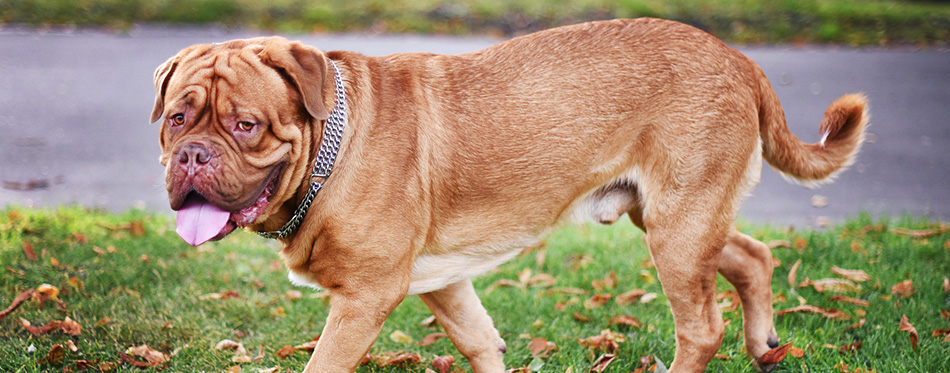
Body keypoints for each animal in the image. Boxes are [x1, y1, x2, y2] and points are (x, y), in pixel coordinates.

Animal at [151, 18, 872, 372]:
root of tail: (741, 60)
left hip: (679, 226)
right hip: (675, 217)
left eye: (246, 125)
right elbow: (480, 341)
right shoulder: (441, 278)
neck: (332, 143)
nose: (192, 155)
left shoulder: (363, 297)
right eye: (178, 118)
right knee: (751, 256)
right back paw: (766, 347)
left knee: (700, 327)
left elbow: (325, 364)